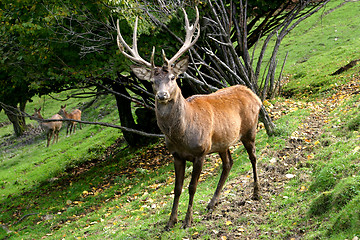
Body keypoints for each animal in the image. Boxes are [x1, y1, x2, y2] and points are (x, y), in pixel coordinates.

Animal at [118, 7, 262, 229]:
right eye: (152, 81)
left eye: (172, 77)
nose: (162, 95)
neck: (181, 135)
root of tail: (253, 94)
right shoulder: (176, 155)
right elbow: (177, 189)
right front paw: (171, 222)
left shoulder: (200, 151)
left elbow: (192, 187)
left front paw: (187, 220)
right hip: (221, 141)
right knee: (228, 163)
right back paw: (212, 203)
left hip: (249, 128)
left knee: (253, 156)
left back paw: (256, 193)